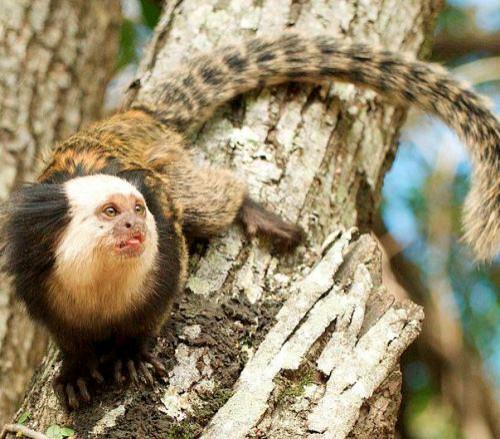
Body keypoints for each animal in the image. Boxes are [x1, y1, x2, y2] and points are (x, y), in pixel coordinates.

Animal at [1, 34, 498, 410]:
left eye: (137, 209)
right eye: (110, 213)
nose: (134, 227)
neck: (102, 283)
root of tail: (134, 117)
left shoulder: (164, 253)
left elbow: (155, 310)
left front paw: (131, 355)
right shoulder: (39, 278)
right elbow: (68, 339)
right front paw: (75, 370)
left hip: (173, 169)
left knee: (209, 202)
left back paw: (248, 208)